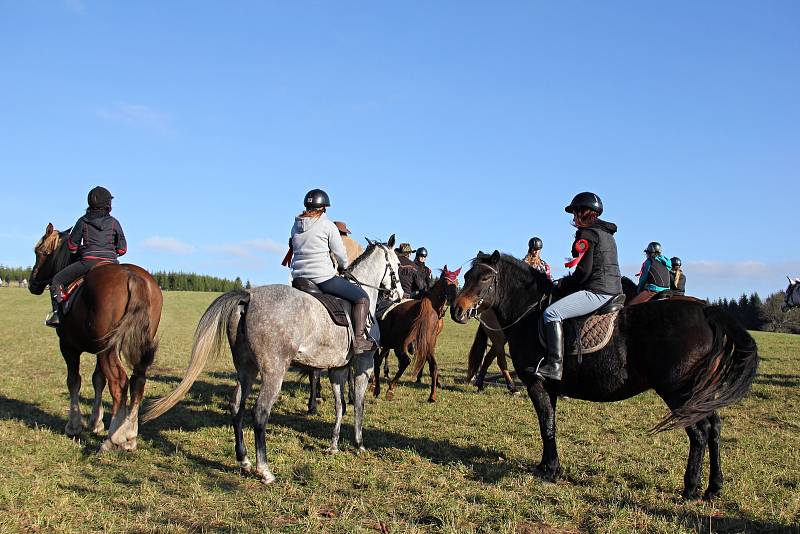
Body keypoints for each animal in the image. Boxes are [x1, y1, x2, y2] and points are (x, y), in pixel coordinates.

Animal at [26, 223, 162, 452]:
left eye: (40, 252)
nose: (33, 282)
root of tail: (133, 278)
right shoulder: (98, 351)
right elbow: (98, 380)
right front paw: (95, 422)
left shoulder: (68, 347)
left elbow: (74, 381)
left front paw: (74, 425)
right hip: (135, 347)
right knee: (137, 381)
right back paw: (130, 435)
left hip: (108, 349)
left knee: (119, 382)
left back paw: (114, 437)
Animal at [142, 234, 400, 486]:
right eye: (397, 265)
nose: (398, 296)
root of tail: (249, 296)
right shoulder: (363, 364)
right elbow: (358, 404)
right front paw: (359, 444)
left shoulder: (337, 368)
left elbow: (341, 405)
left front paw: (334, 446)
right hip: (274, 371)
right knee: (260, 412)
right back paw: (264, 470)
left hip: (246, 369)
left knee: (236, 406)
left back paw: (244, 460)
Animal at [372, 266, 460, 404]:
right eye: (447, 282)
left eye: (456, 283)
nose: (454, 304)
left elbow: (377, 362)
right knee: (430, 366)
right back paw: (431, 395)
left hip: (401, 345)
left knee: (406, 361)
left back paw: (390, 389)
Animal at [454, 251, 760, 502]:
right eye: (467, 276)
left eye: (484, 278)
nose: (458, 310)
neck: (531, 314)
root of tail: (706, 312)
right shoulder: (550, 388)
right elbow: (549, 423)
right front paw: (545, 465)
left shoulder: (537, 383)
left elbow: (546, 424)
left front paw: (550, 470)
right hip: (699, 395)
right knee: (715, 428)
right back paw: (713, 488)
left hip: (678, 393)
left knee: (700, 433)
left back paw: (690, 488)